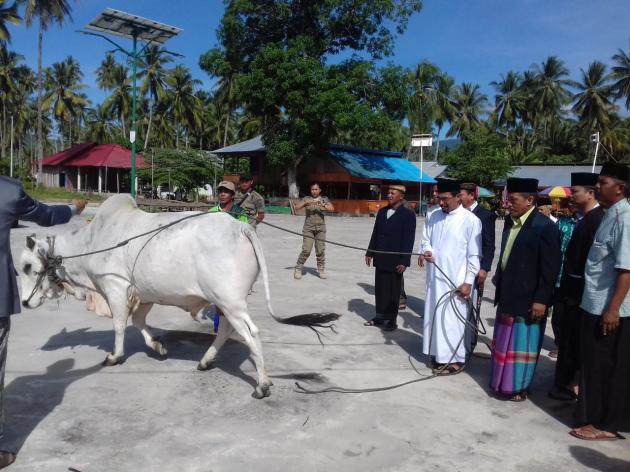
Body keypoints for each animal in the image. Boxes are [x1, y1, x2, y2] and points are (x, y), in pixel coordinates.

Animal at [18, 195, 336, 398]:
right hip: (224, 302)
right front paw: (158, 347)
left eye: (27, 267)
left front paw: (114, 356)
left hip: (231, 301)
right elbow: (138, 322)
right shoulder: (143, 295)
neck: (91, 242)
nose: (24, 303)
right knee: (228, 329)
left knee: (251, 334)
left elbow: (120, 325)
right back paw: (206, 361)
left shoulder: (115, 288)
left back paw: (261, 385)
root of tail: (242, 226)